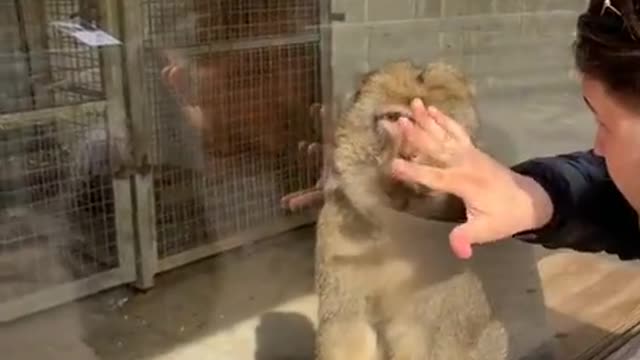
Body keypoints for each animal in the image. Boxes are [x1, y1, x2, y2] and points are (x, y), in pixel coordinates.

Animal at [312, 60, 508, 358]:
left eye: (432, 126)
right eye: (395, 119)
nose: (410, 155)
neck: (399, 222)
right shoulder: (338, 238)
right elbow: (347, 331)